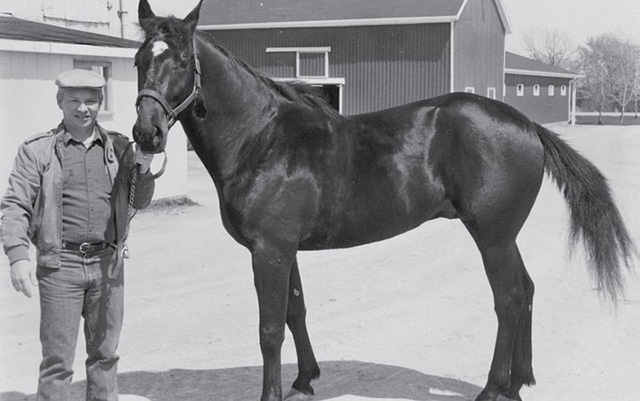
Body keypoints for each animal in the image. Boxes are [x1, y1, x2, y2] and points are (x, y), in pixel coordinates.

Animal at [132, 1, 635, 400]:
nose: (146, 133)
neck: (261, 136)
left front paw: (273, 393)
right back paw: (518, 382)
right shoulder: (284, 250)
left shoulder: (268, 251)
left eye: (182, 60)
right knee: (526, 290)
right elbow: (296, 311)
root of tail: (527, 125)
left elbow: (270, 330)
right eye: (138, 60)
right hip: (505, 237)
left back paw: (493, 389)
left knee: (509, 298)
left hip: (492, 236)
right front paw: (305, 380)